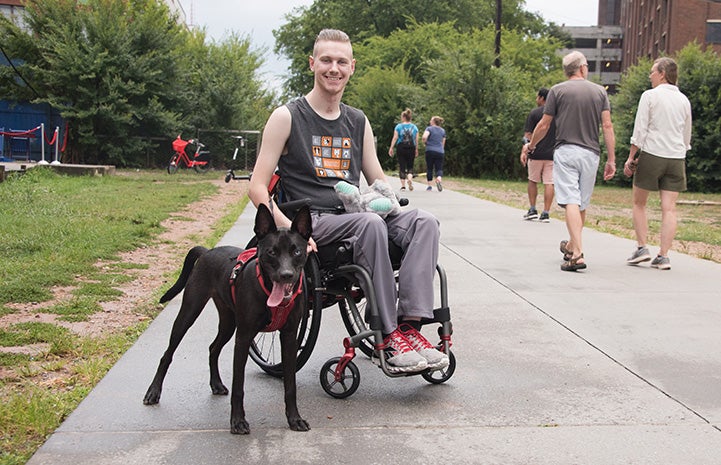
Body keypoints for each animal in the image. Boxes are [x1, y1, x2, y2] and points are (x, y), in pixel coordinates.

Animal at [142, 205, 310, 434]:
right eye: (271, 252)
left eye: (296, 251)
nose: (286, 275)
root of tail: (207, 251)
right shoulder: (244, 338)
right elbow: (239, 387)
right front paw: (237, 421)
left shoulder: (290, 338)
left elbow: (290, 385)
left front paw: (294, 419)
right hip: (189, 312)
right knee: (167, 354)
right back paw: (153, 392)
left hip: (229, 323)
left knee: (213, 348)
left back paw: (216, 384)